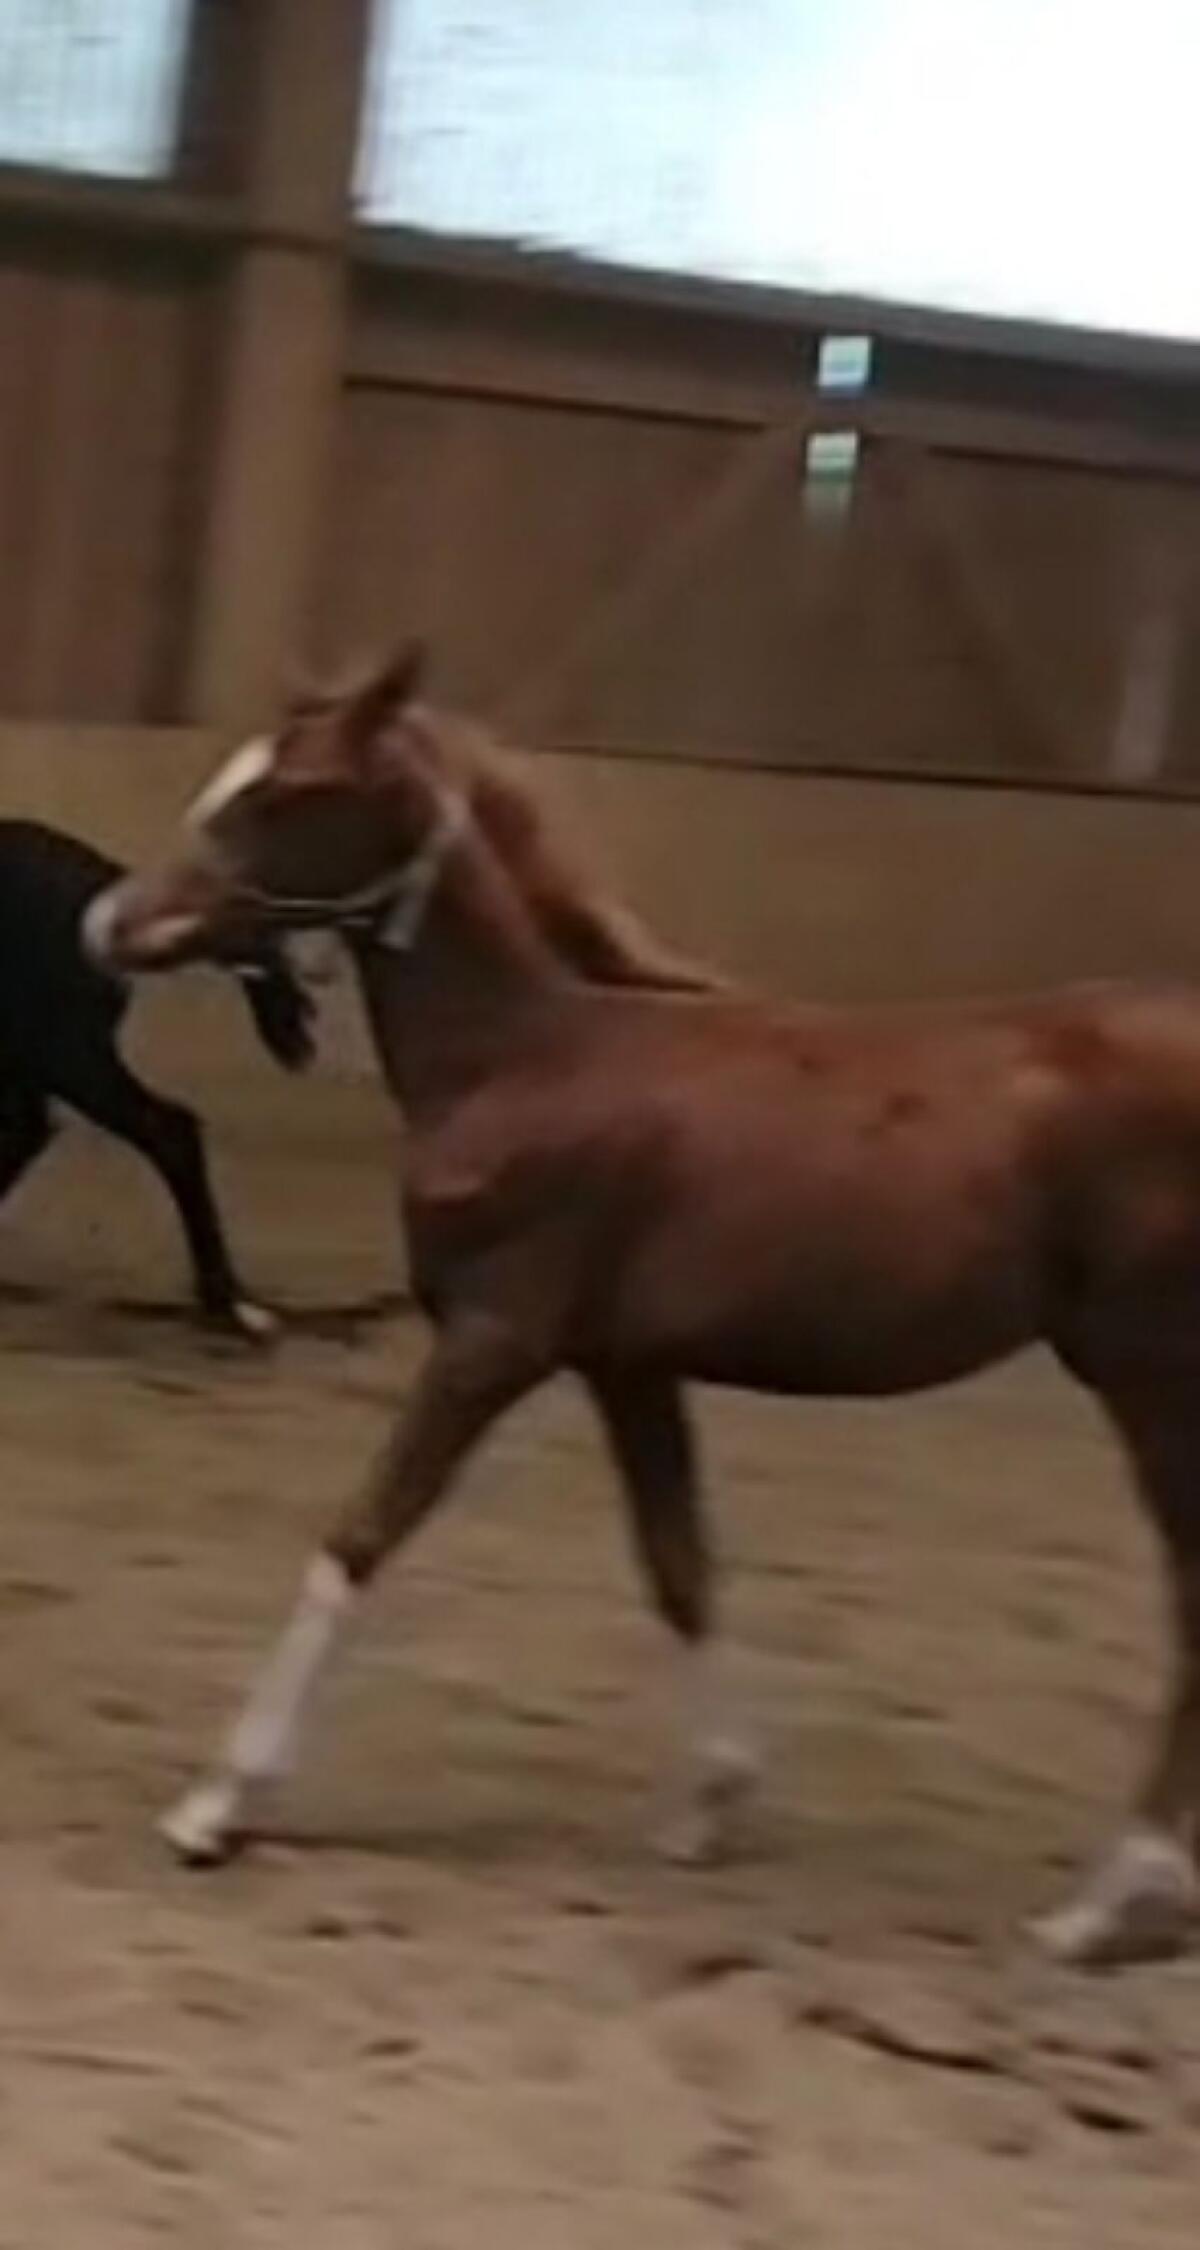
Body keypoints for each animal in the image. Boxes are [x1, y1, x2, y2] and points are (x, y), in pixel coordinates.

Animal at [0, 817, 314, 1337]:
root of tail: (107, 882)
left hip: (69, 1055)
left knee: (167, 1130)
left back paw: (230, 1305)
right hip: (41, 1060)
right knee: (32, 1132)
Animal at [88, 646, 1200, 1967]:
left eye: (291, 793)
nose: (112, 926)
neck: (530, 1057)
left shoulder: (493, 1342)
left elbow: (358, 1538)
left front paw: (215, 1806)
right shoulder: (627, 1364)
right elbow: (680, 1565)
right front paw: (712, 1806)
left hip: (1146, 1373)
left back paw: (1104, 1903)